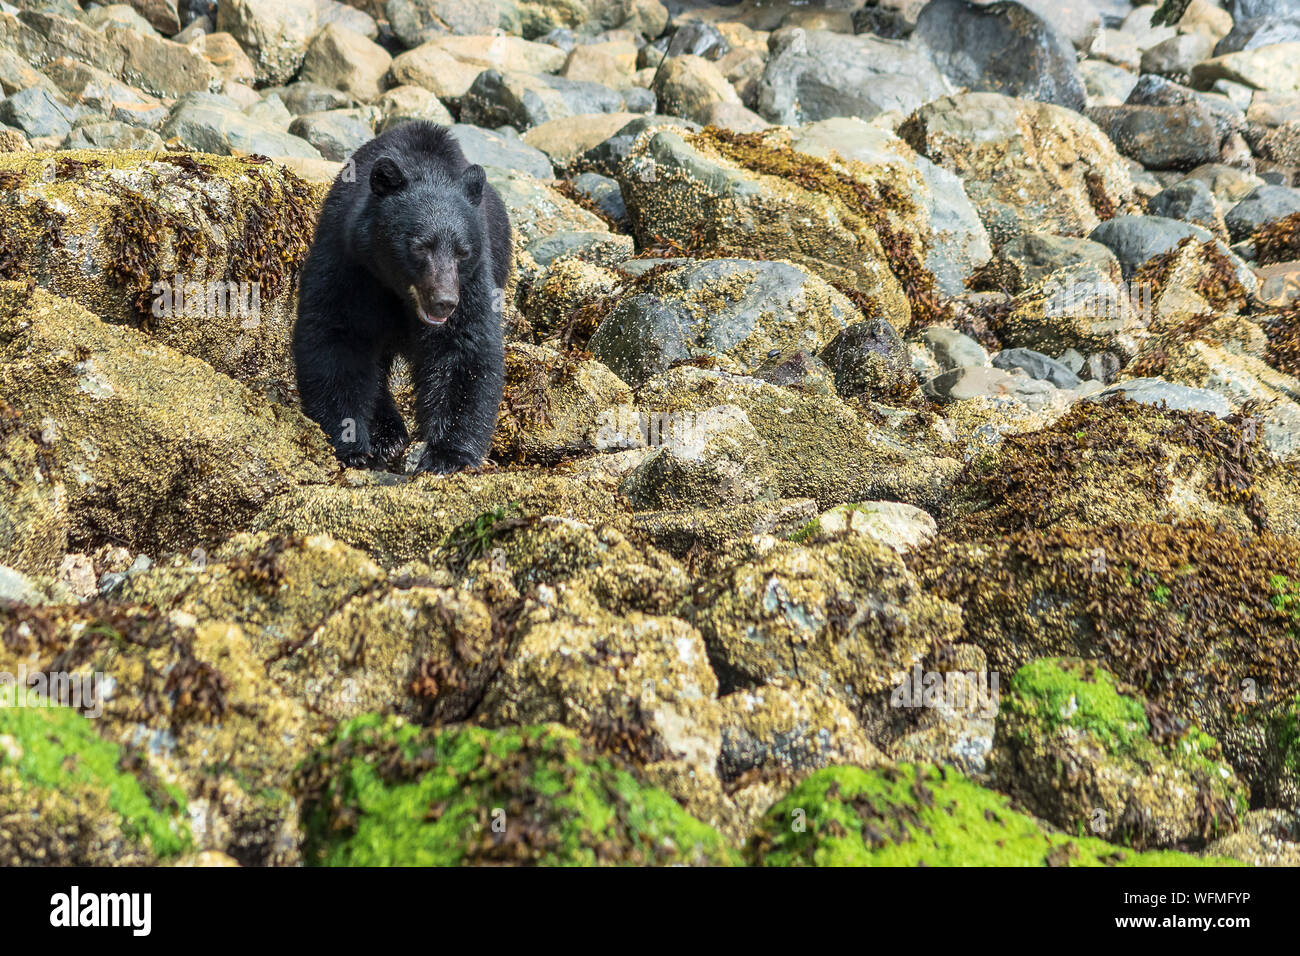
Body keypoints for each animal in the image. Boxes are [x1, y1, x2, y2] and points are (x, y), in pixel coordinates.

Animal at [295, 123, 512, 476]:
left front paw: (447, 455)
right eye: (420, 246)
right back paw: (387, 433)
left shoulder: (475, 279)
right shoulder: (349, 261)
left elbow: (464, 348)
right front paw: (354, 445)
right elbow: (336, 336)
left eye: (462, 252)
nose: (444, 302)